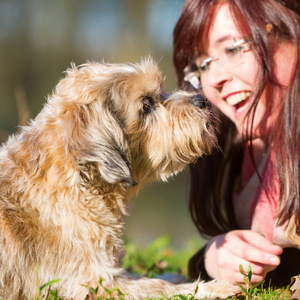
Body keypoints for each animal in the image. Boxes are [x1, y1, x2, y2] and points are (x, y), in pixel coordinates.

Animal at [0, 58, 236, 300]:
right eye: (146, 105)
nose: (202, 100)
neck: (80, 179)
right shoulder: (95, 282)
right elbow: (157, 287)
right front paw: (213, 287)